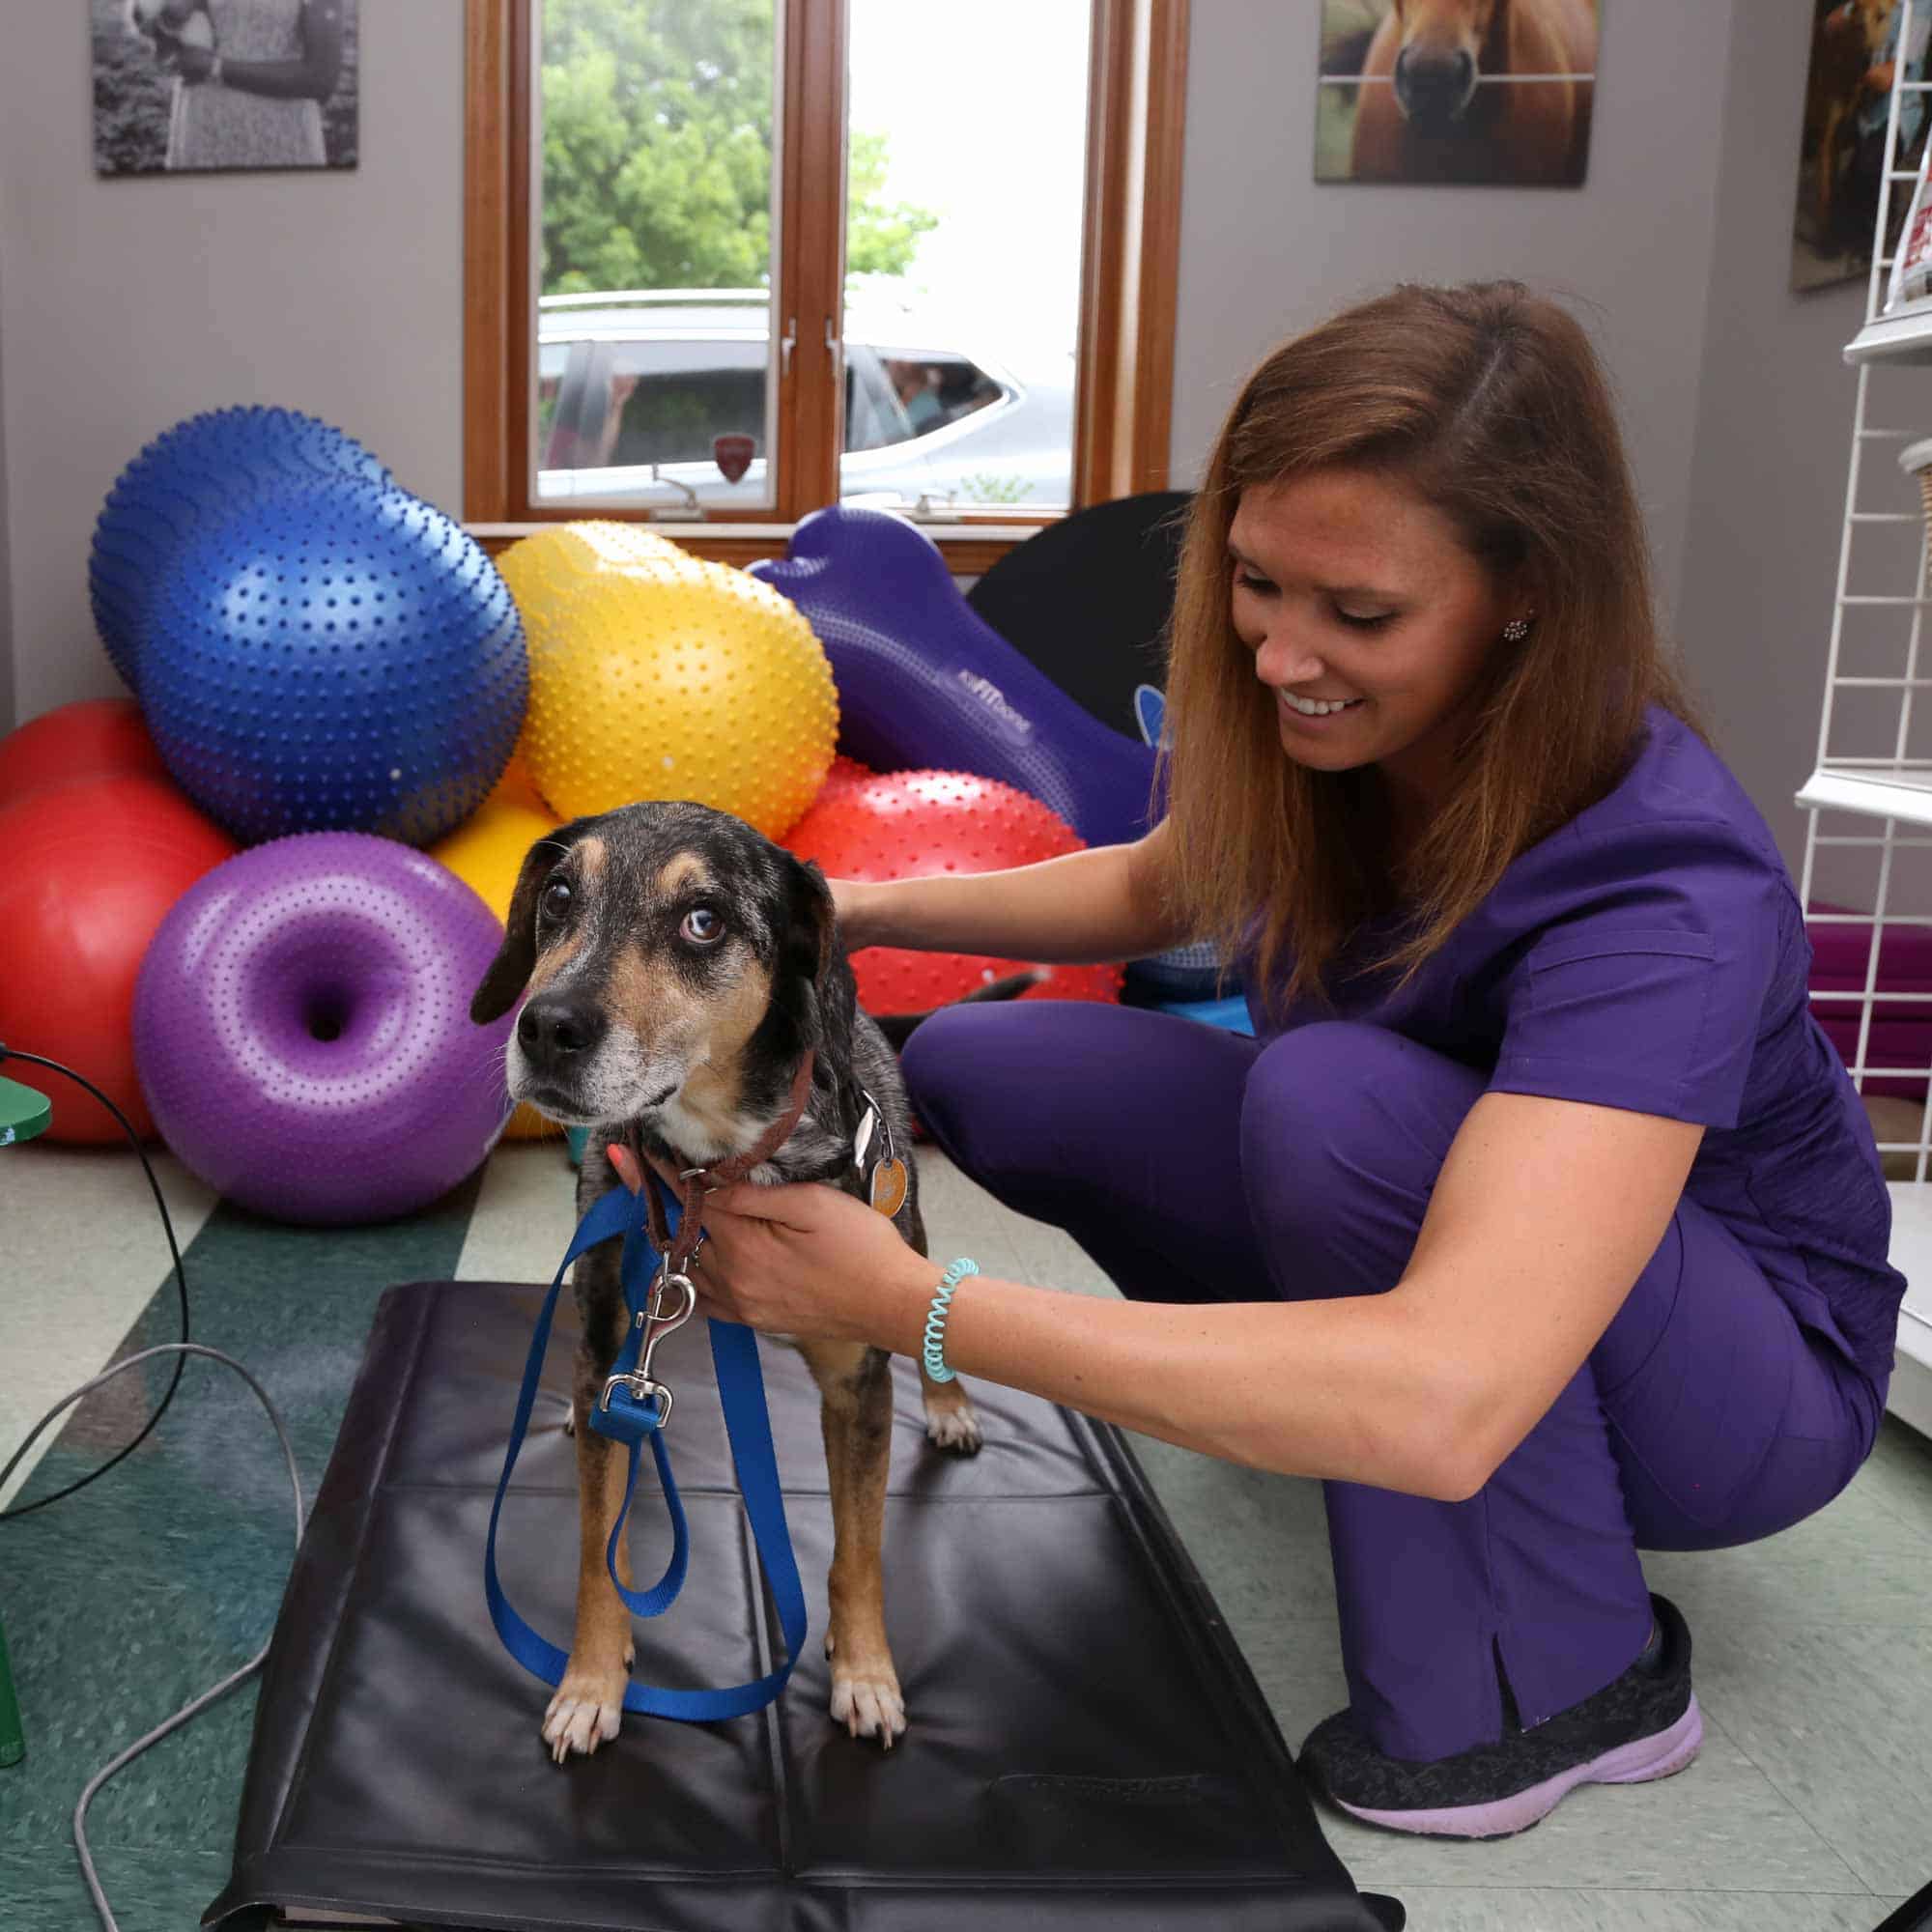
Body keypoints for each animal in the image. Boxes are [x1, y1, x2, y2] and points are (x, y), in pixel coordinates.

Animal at [466, 800, 981, 1770]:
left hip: (908, 1225)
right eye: (559, 896)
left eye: (703, 921)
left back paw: (950, 1403)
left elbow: (860, 1549)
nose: (546, 1027)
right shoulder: (617, 1348)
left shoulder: (857, 1382)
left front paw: (865, 1672)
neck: (715, 1168)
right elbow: (596, 1552)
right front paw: (591, 1683)